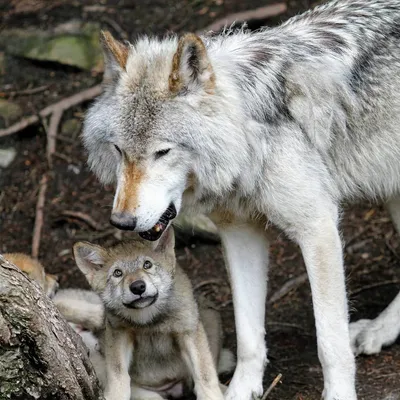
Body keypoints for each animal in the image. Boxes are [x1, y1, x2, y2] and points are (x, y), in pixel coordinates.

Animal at [67, 228, 233, 400]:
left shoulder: (187, 330)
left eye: (147, 265)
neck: (149, 320)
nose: (138, 287)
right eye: (117, 273)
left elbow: (205, 374)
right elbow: (118, 374)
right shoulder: (118, 333)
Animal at [83, 1, 400, 398]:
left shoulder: (318, 228)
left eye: (162, 152)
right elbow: (248, 334)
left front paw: (339, 393)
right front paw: (240, 388)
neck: (248, 138)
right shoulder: (240, 233)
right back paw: (380, 329)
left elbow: (330, 343)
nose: (121, 222)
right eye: (119, 151)